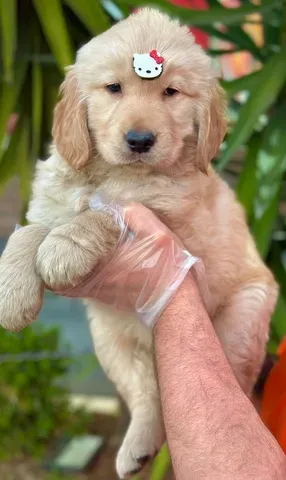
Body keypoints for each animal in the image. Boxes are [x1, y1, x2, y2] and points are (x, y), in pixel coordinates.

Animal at [8, 8, 278, 480]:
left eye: (170, 92)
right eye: (114, 88)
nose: (139, 140)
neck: (110, 172)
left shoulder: (172, 221)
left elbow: (105, 213)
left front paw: (64, 248)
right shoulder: (48, 201)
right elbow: (30, 231)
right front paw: (13, 296)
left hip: (240, 326)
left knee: (235, 387)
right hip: (111, 342)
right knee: (147, 395)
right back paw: (139, 446)